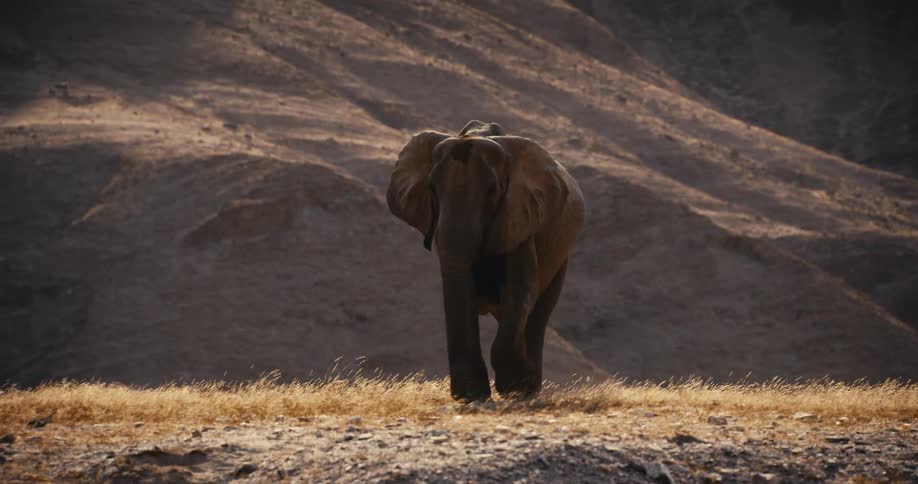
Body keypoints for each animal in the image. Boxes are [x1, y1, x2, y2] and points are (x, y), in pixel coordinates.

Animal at [386, 120, 584, 401]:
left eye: (493, 191)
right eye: (432, 189)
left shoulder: (519, 217)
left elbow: (521, 288)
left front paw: (513, 387)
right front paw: (472, 395)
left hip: (561, 258)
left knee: (538, 314)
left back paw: (530, 387)